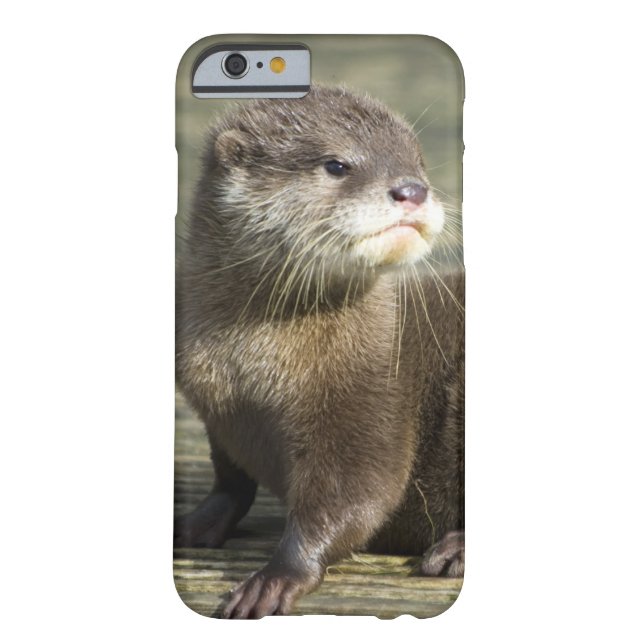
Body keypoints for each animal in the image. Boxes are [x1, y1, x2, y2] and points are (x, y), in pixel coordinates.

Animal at [175, 85, 464, 618]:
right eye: (336, 164)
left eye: (416, 162)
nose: (412, 190)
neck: (250, 372)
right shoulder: (217, 415)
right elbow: (230, 483)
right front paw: (194, 523)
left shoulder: (371, 401)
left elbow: (358, 496)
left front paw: (275, 578)